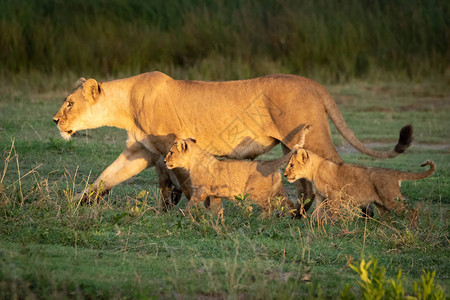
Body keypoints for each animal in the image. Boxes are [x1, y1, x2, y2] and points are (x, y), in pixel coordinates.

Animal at [51, 72, 412, 209]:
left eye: (68, 103)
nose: (55, 120)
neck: (125, 105)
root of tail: (313, 83)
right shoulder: (140, 151)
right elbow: (106, 177)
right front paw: (73, 204)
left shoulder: (169, 147)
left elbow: (180, 182)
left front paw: (191, 208)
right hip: (292, 144)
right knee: (305, 181)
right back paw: (301, 213)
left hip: (314, 138)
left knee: (333, 168)